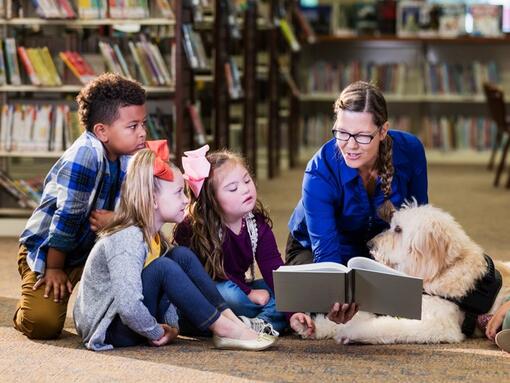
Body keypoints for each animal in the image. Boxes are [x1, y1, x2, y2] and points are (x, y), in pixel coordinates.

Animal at [294, 202, 510, 346]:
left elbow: (387, 325)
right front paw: (312, 326)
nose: (370, 244)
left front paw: (351, 331)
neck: (442, 271)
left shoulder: (438, 325)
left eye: (398, 229)